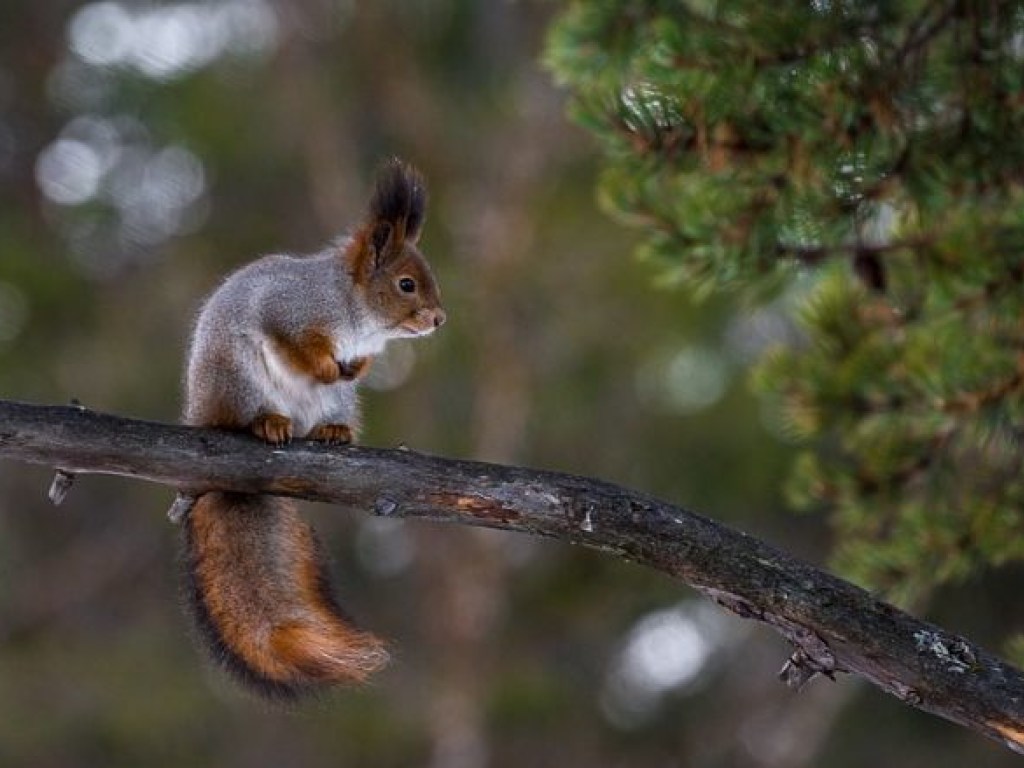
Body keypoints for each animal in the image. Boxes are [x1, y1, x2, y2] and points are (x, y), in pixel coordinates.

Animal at [177, 159, 448, 700]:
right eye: (407, 285)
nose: (439, 319)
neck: (355, 309)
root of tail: (201, 409)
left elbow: (359, 363)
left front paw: (356, 366)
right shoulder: (289, 310)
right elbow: (297, 344)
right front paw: (323, 364)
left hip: (335, 403)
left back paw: (331, 432)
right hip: (238, 379)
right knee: (247, 413)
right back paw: (269, 422)